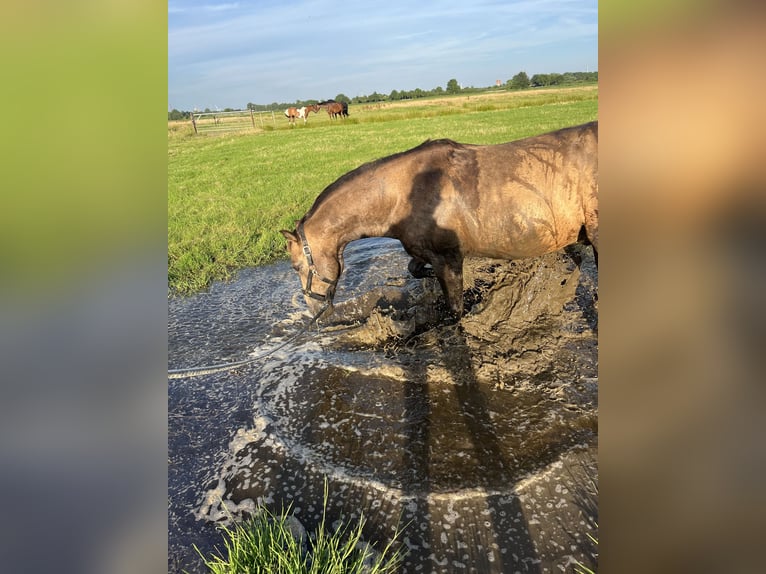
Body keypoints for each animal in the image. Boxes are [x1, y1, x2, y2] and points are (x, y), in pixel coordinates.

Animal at [282, 122, 600, 320]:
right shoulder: (428, 254)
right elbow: (413, 270)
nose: (316, 311)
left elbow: (455, 310)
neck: (404, 193)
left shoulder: (448, 259)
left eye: (297, 266)